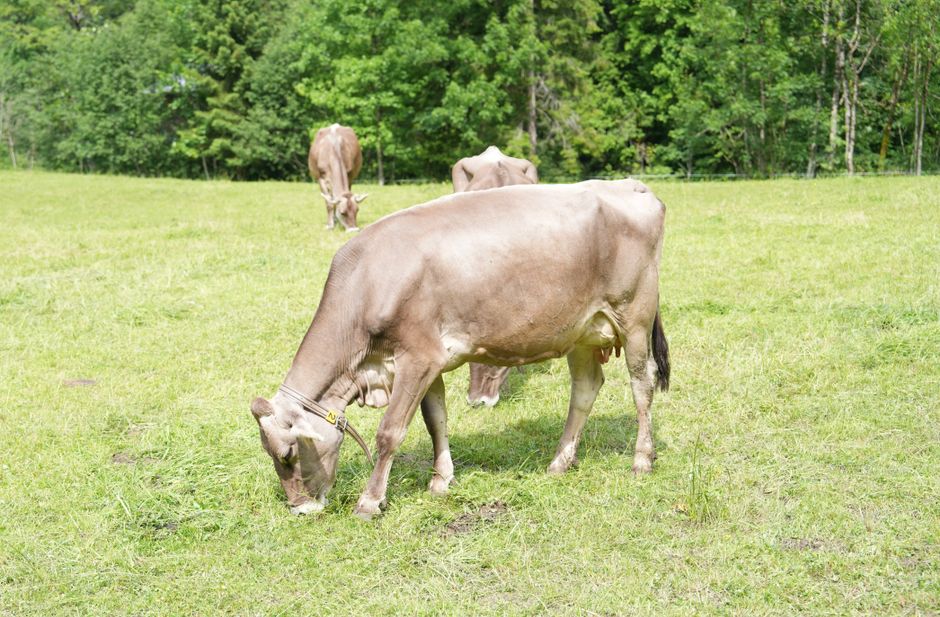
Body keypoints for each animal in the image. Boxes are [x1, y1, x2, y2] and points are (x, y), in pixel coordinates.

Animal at [250, 179, 670, 519]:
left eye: (288, 454)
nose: (300, 509)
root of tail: (631, 185)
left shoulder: (417, 357)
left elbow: (390, 431)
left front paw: (369, 501)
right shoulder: (429, 361)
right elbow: (436, 420)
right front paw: (441, 481)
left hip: (634, 316)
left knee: (642, 384)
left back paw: (641, 460)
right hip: (581, 329)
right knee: (585, 388)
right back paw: (559, 462)